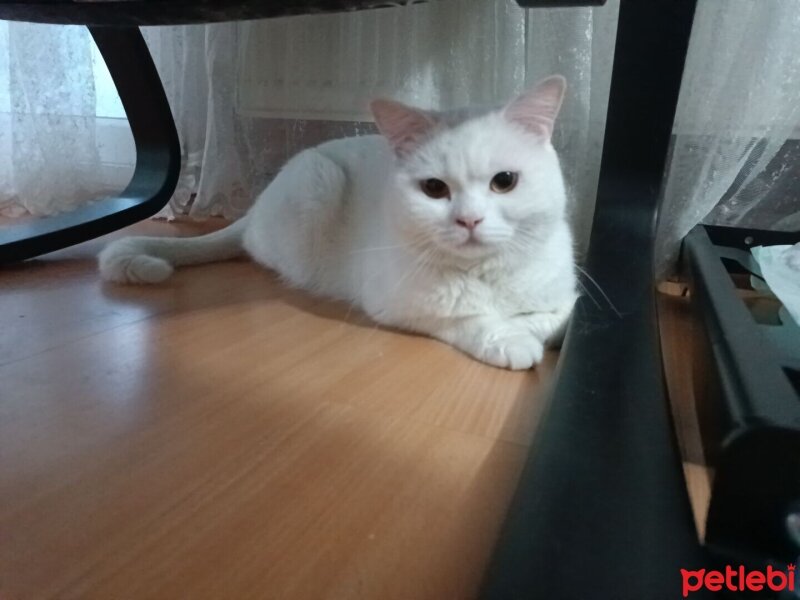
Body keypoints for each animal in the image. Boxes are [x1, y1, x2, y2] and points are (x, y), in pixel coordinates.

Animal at [98, 75, 576, 370]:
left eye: (505, 181)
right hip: (316, 185)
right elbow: (468, 318)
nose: (469, 219)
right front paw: (509, 340)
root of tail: (256, 206)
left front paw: (526, 328)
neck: (485, 274)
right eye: (434, 189)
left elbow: (554, 317)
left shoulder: (565, 296)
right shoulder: (395, 304)